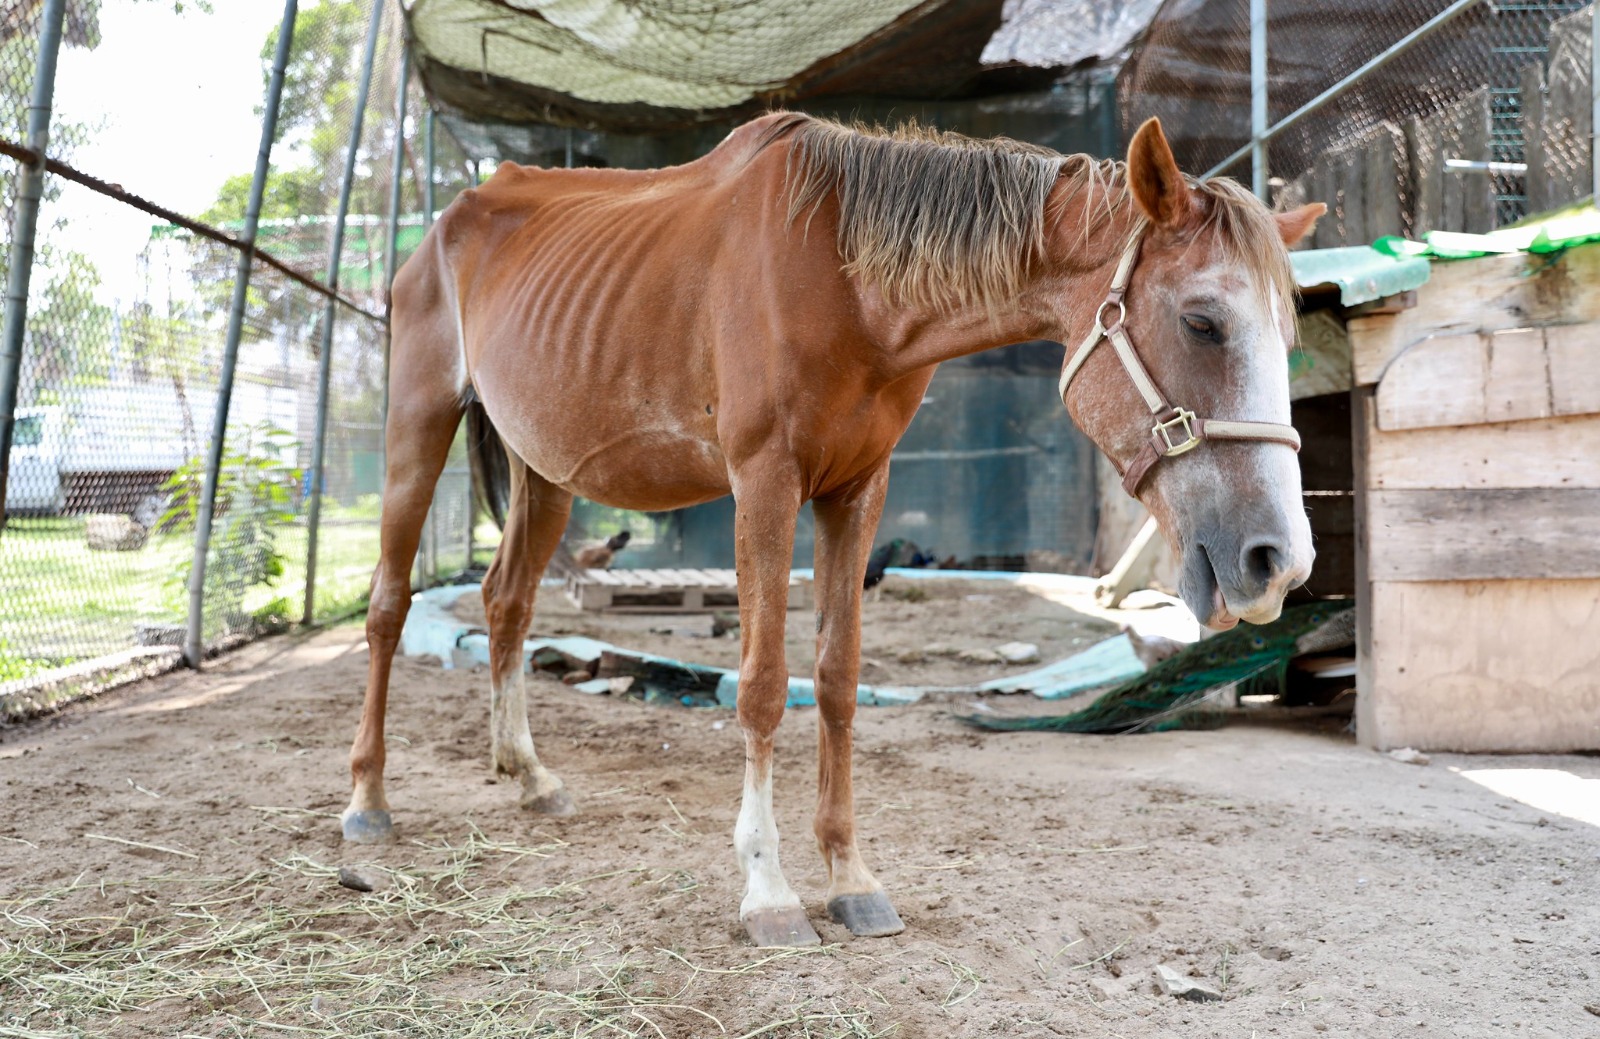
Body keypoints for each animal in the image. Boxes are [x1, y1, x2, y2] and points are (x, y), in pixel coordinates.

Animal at [347, 113, 1324, 947]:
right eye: (1202, 320)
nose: (1278, 561)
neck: (843, 281)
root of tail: (447, 226)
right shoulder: (764, 483)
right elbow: (762, 686)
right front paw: (769, 890)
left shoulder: (856, 491)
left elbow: (839, 680)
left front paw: (851, 878)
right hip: (414, 429)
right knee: (388, 607)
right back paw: (367, 797)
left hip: (543, 470)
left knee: (506, 603)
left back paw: (527, 773)